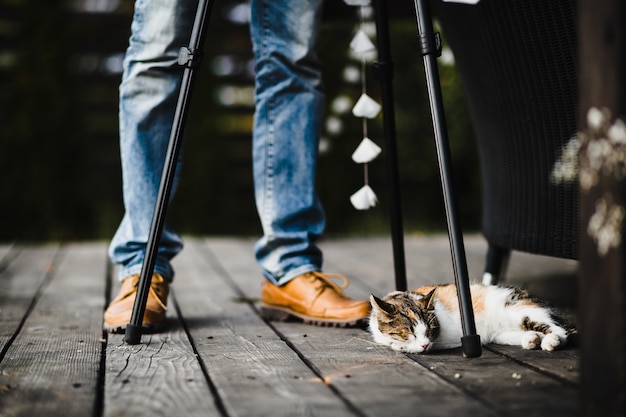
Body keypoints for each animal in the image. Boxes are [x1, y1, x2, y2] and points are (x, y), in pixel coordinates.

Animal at [366, 282, 576, 352]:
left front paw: (403, 346)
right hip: (502, 333)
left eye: (430, 330)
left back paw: (551, 341)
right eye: (408, 332)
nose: (425, 344)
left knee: (561, 330)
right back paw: (532, 339)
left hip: (520, 311)